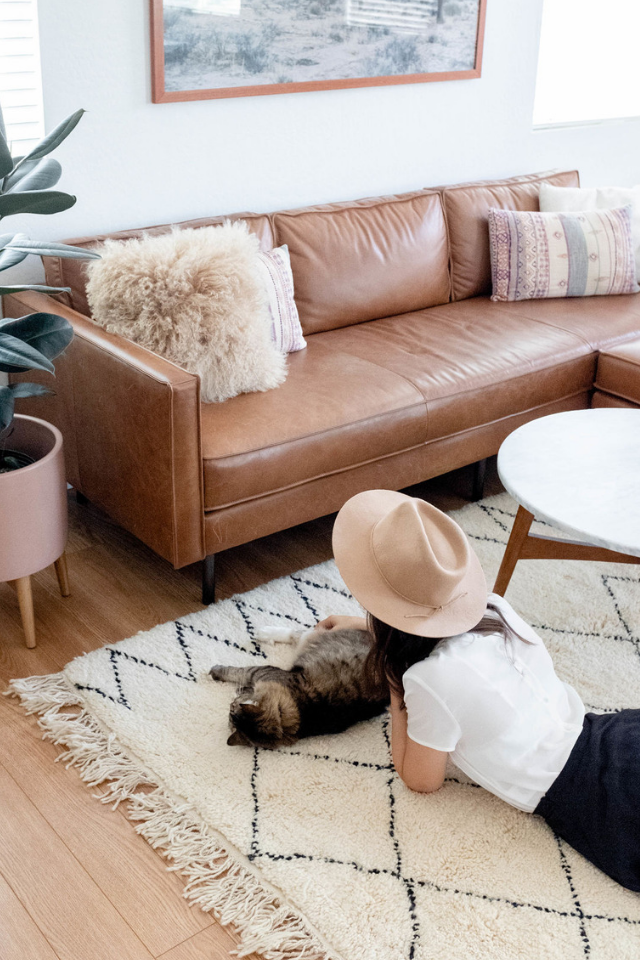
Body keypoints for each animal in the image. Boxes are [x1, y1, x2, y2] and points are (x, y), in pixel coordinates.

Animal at [209, 626, 390, 748]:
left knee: (296, 633)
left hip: (311, 638)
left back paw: (264, 633)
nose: (231, 704)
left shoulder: (264, 672)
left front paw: (216, 672)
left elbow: (241, 672)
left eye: (232, 708)